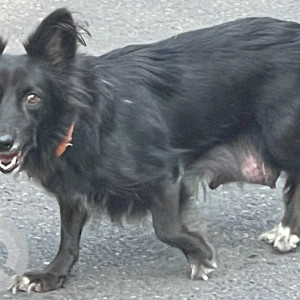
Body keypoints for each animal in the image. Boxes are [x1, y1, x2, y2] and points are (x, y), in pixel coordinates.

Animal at [1, 7, 298, 292]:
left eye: (33, 98)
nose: (4, 141)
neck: (82, 121)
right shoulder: (73, 189)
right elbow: (69, 237)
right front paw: (51, 275)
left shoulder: (165, 175)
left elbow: (166, 228)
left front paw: (200, 254)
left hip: (278, 134)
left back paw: (287, 231)